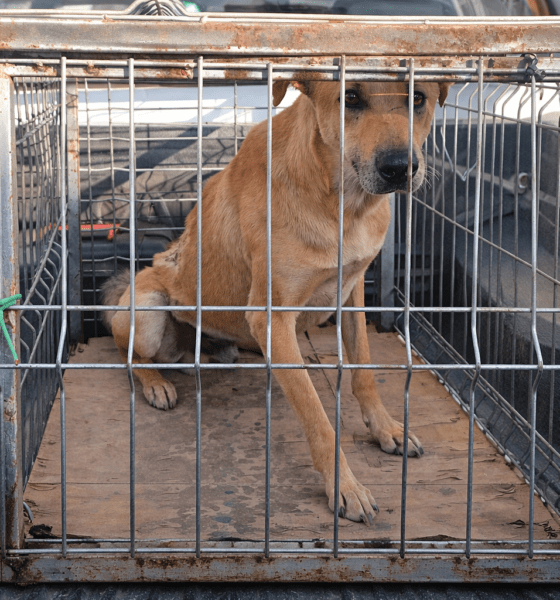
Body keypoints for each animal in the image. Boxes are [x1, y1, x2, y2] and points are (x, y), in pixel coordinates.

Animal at [102, 79, 450, 525]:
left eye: (418, 98)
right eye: (351, 97)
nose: (399, 168)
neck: (342, 204)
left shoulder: (353, 292)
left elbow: (364, 372)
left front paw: (385, 428)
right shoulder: (273, 319)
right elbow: (317, 417)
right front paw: (345, 487)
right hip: (147, 313)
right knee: (127, 350)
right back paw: (155, 383)